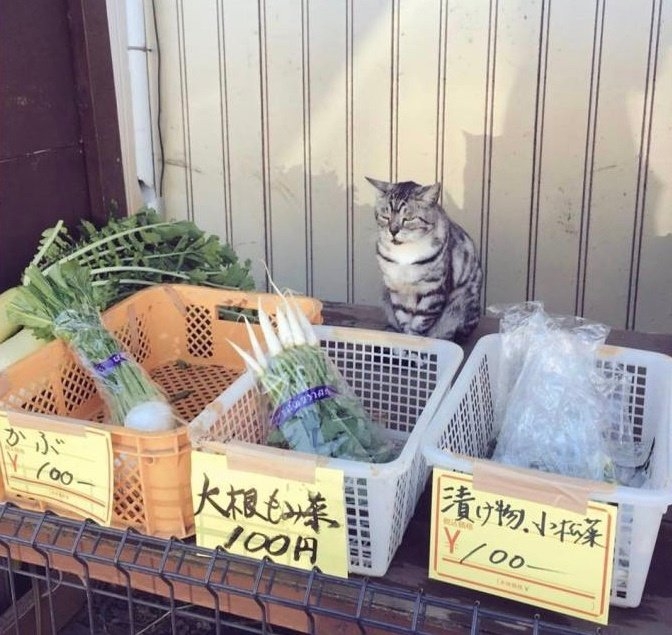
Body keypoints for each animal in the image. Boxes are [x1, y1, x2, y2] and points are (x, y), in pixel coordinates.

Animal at [368, 179, 484, 342]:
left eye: (408, 219)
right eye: (385, 217)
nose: (393, 230)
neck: (404, 254)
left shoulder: (433, 291)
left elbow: (419, 323)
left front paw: (414, 343)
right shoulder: (397, 289)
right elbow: (403, 318)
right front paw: (402, 342)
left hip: (462, 303)